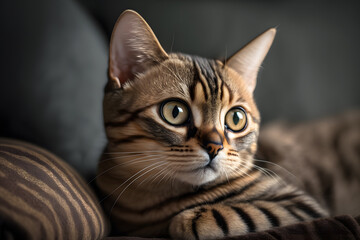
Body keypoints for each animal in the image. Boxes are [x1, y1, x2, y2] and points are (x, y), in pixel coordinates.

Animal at [96, 10, 330, 239]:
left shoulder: (299, 205)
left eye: (236, 118)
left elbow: (198, 220)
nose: (214, 146)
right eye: (175, 112)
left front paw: (187, 219)